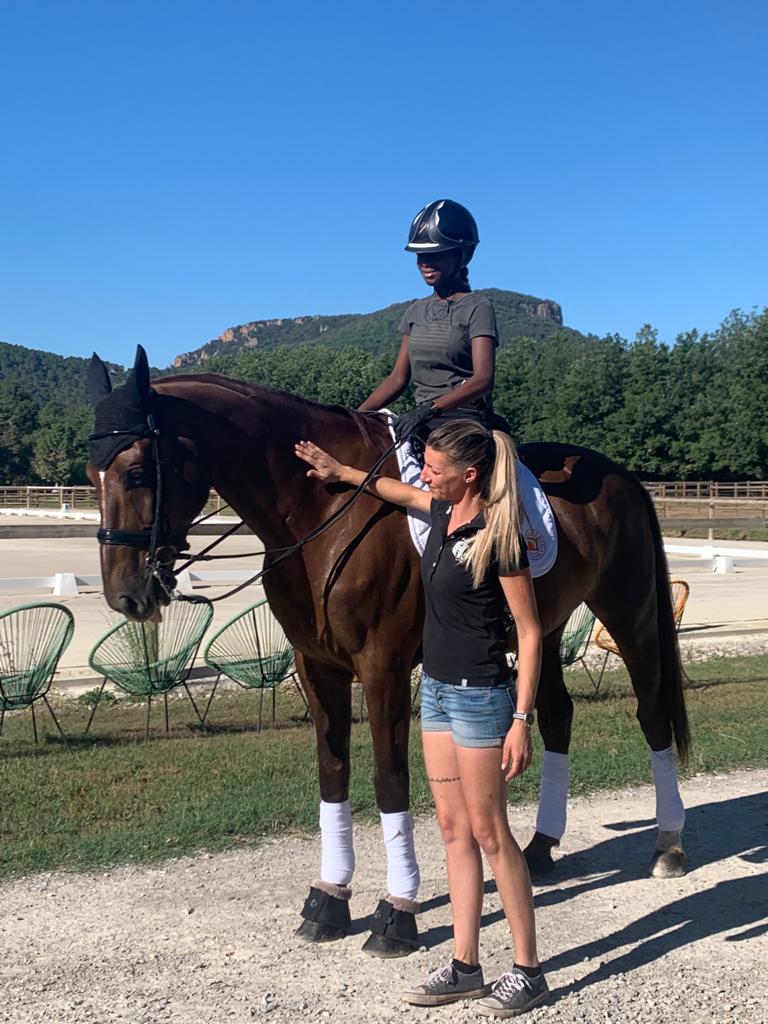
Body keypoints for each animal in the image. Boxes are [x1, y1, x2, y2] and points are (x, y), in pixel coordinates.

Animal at [88, 352, 692, 958]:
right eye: (93, 475)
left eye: (137, 472)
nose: (125, 595)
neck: (321, 511)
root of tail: (622, 477)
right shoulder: (317, 666)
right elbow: (333, 773)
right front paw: (329, 898)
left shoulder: (383, 666)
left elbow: (389, 778)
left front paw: (396, 911)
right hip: (541, 629)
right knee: (559, 716)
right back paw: (542, 847)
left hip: (630, 613)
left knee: (651, 714)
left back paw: (668, 845)